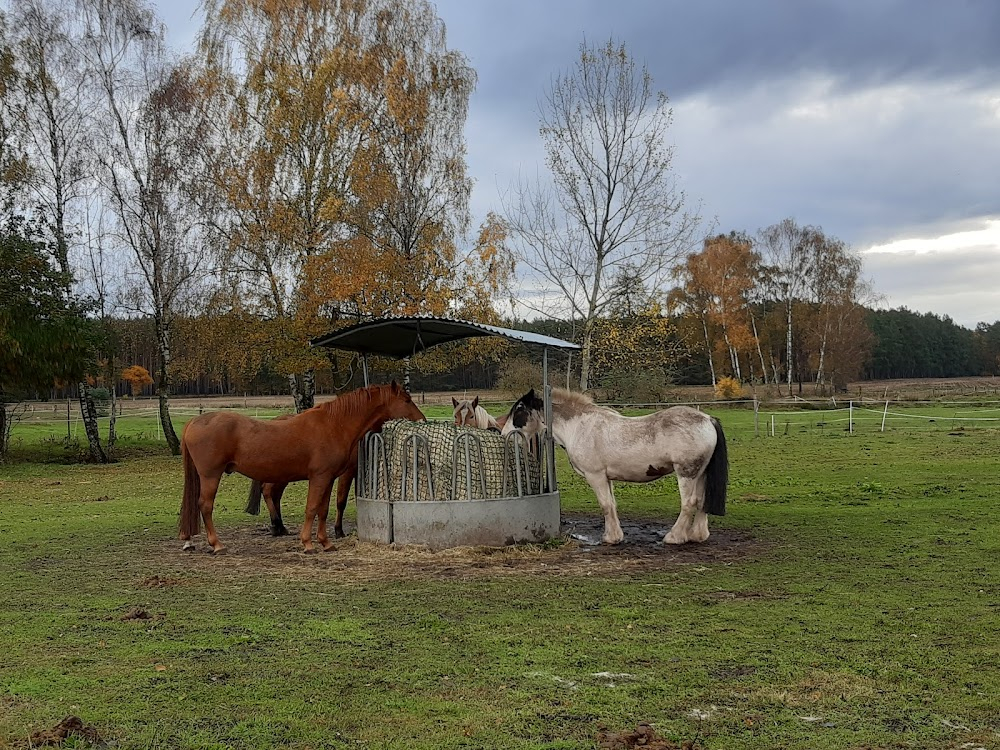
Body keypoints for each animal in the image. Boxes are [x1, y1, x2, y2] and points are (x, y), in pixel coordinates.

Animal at [180, 384, 422, 556]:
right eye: (407, 400)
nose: (422, 420)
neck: (334, 425)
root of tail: (195, 421)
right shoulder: (319, 478)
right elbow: (312, 508)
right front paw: (308, 543)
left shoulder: (329, 479)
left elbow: (323, 510)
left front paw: (326, 542)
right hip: (211, 476)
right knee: (205, 506)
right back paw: (217, 544)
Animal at [500, 388, 728, 548]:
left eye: (519, 410)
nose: (503, 435)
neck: (579, 427)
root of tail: (707, 419)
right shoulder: (607, 477)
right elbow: (612, 505)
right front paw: (616, 535)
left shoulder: (596, 476)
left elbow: (605, 505)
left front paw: (610, 538)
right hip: (701, 474)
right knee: (702, 501)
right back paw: (697, 535)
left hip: (686, 474)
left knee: (689, 503)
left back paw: (674, 537)